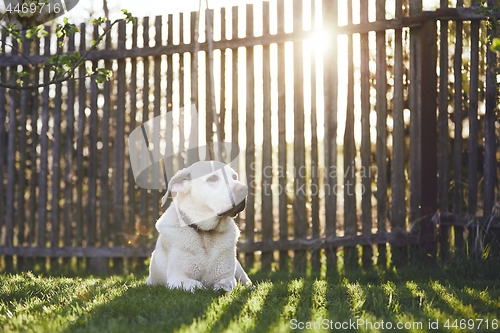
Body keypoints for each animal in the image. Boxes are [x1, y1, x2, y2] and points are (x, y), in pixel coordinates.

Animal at [146, 160, 252, 290]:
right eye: (212, 178)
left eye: (234, 177)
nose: (244, 189)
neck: (205, 233)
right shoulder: (177, 278)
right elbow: (198, 285)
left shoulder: (227, 277)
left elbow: (226, 283)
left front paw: (219, 287)